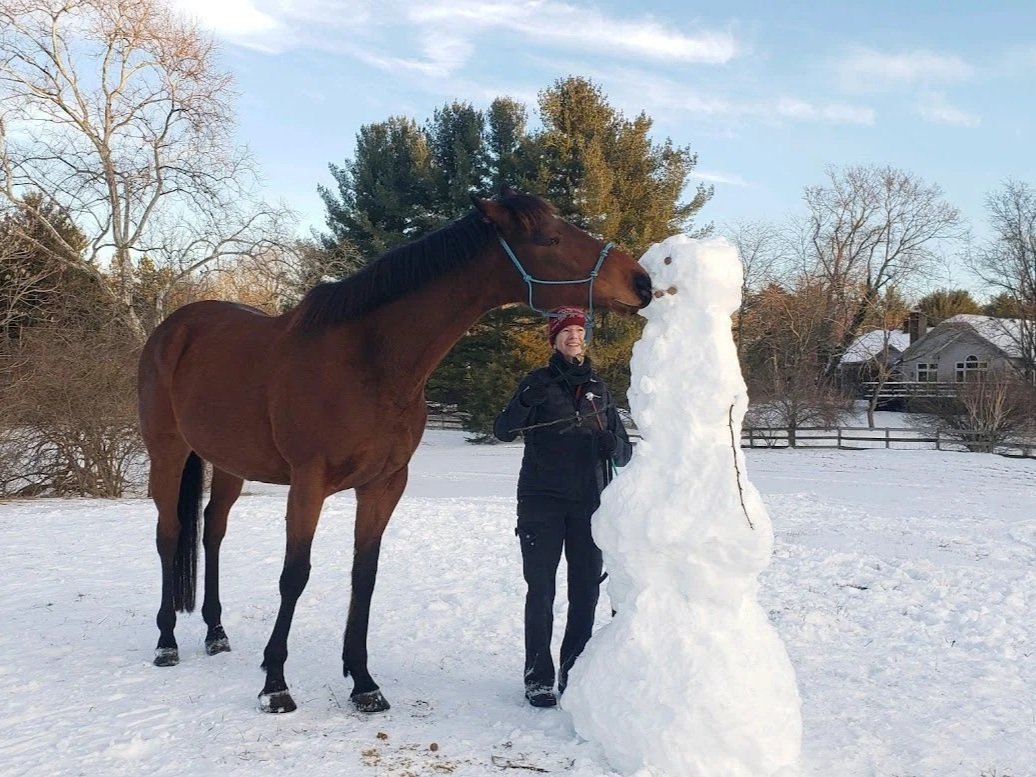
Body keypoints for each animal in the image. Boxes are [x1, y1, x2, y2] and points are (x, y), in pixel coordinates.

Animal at [137, 191, 654, 714]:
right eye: (550, 238)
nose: (642, 281)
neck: (368, 361)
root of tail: (172, 329)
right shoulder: (308, 483)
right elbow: (294, 575)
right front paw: (275, 684)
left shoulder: (384, 484)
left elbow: (364, 576)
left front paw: (363, 683)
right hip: (168, 453)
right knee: (169, 534)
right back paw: (166, 642)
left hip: (229, 465)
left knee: (212, 532)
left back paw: (215, 633)